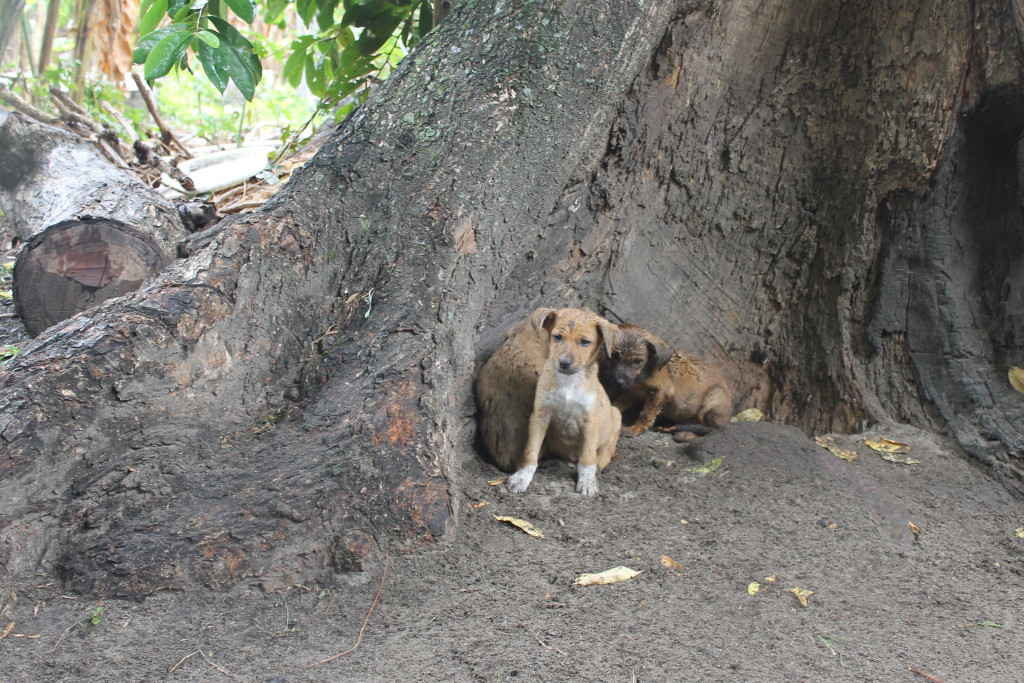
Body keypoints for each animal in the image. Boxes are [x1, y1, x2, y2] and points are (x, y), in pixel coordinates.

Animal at [473, 307, 622, 493]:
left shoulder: (590, 421)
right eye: (557, 337)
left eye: (585, 342)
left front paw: (587, 483)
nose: (564, 363)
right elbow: (530, 451)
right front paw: (521, 477)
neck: (568, 382)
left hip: (616, 415)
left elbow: (588, 457)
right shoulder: (539, 417)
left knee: (605, 452)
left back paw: (598, 467)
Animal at [598, 321, 737, 438]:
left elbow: (645, 415)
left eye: (637, 361)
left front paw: (635, 430)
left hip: (715, 397)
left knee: (711, 429)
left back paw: (688, 434)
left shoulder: (662, 392)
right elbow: (617, 404)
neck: (644, 372)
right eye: (614, 356)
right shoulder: (632, 392)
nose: (617, 380)